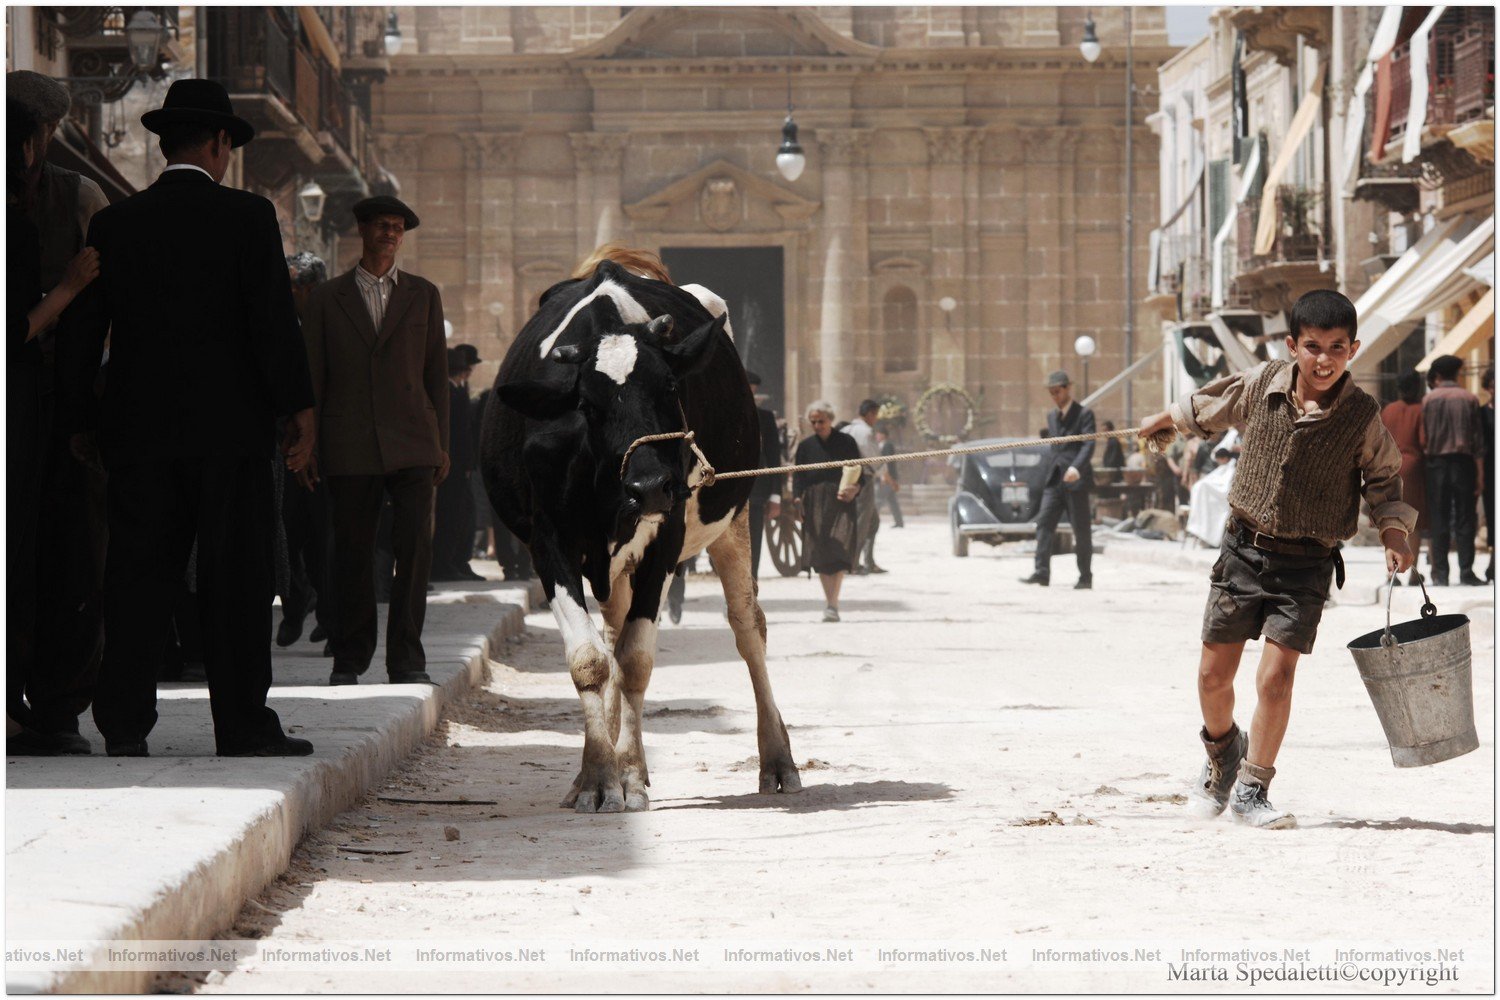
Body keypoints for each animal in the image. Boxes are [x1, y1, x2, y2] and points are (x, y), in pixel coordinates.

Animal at [486, 257, 804, 815]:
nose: (652, 484)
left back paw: (777, 760)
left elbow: (634, 661)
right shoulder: (548, 542)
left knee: (748, 628)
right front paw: (597, 777)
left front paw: (628, 776)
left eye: (671, 389)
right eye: (588, 405)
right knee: (611, 636)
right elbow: (591, 660)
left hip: (733, 516)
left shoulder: (666, 540)